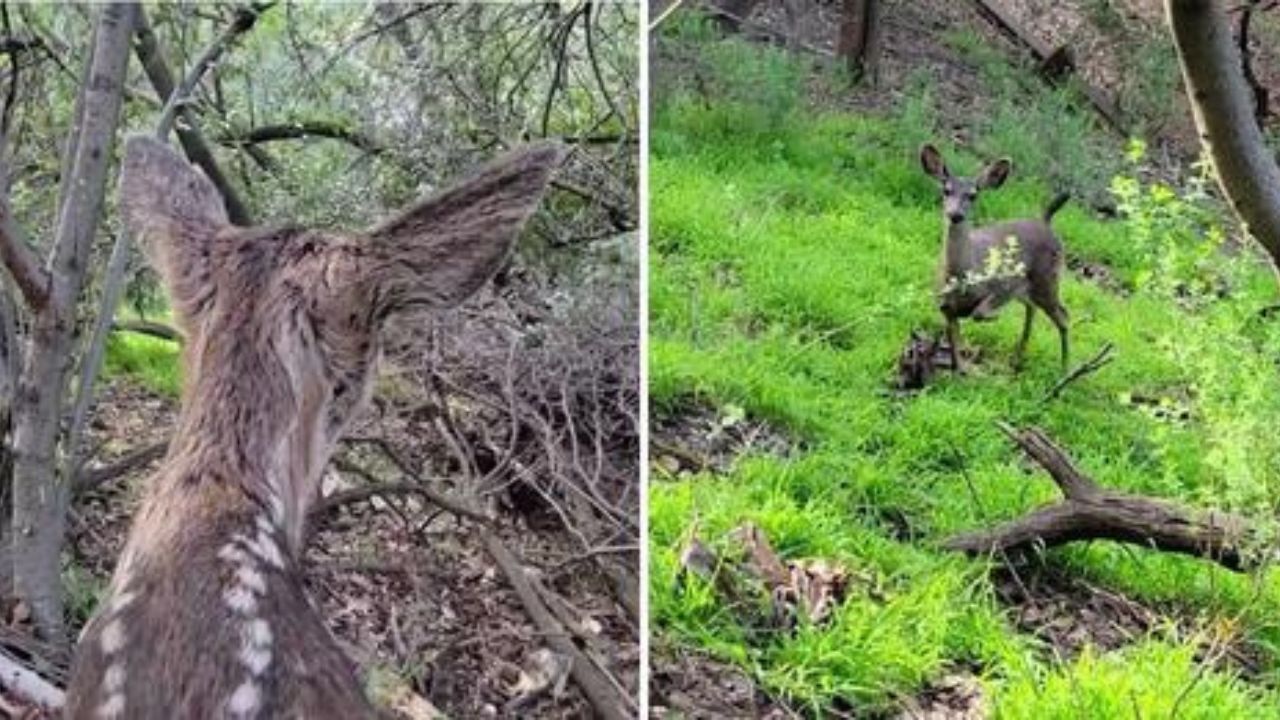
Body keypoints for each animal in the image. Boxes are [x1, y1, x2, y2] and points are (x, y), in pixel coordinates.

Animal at [921, 142, 1070, 371]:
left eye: (973, 195)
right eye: (946, 190)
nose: (956, 214)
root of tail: (1045, 221)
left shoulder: (1003, 285)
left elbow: (978, 313)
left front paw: (992, 317)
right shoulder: (945, 308)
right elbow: (954, 347)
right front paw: (961, 367)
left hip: (1047, 279)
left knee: (1062, 316)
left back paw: (1065, 369)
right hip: (1031, 289)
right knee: (1033, 309)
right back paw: (1018, 360)